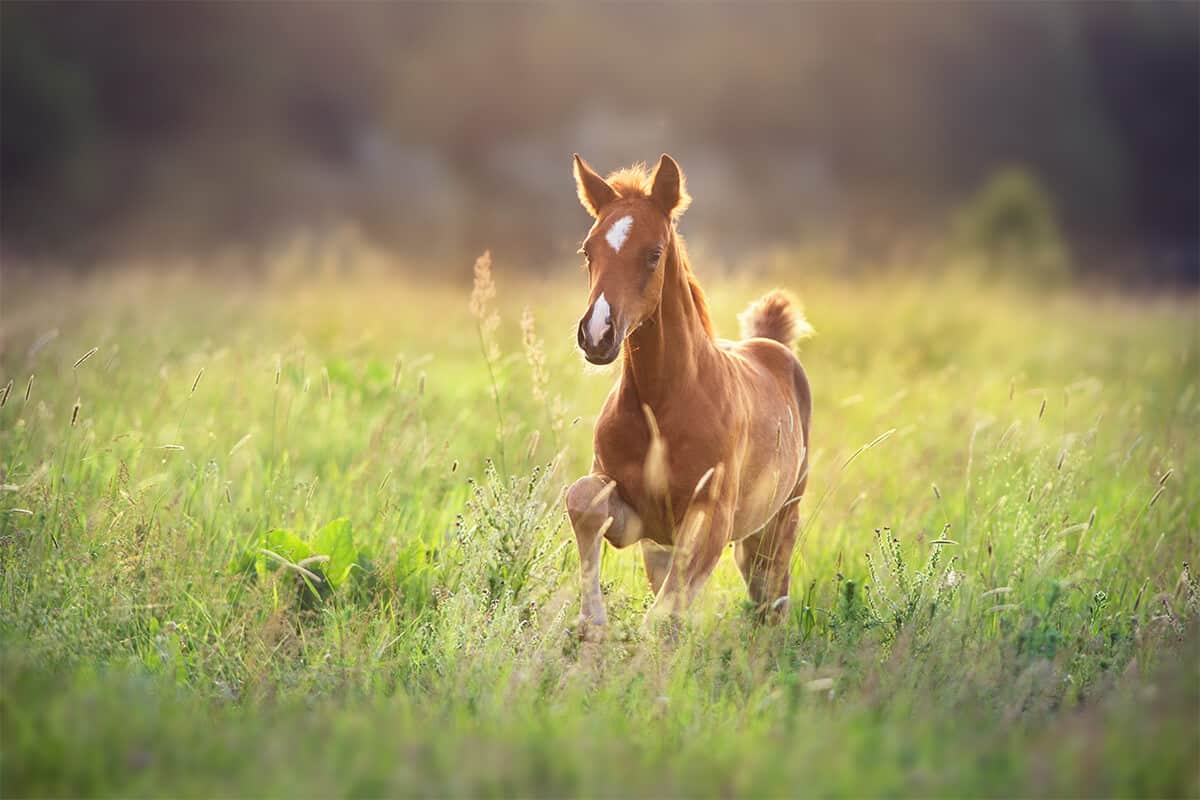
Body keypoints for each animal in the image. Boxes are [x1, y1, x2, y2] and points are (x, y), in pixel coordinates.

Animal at [565, 153, 813, 637]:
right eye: (588, 251)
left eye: (653, 254)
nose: (598, 334)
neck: (661, 404)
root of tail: (771, 345)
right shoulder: (637, 520)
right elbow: (582, 499)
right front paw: (592, 621)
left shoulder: (712, 515)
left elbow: (664, 612)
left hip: (779, 520)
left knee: (770, 589)